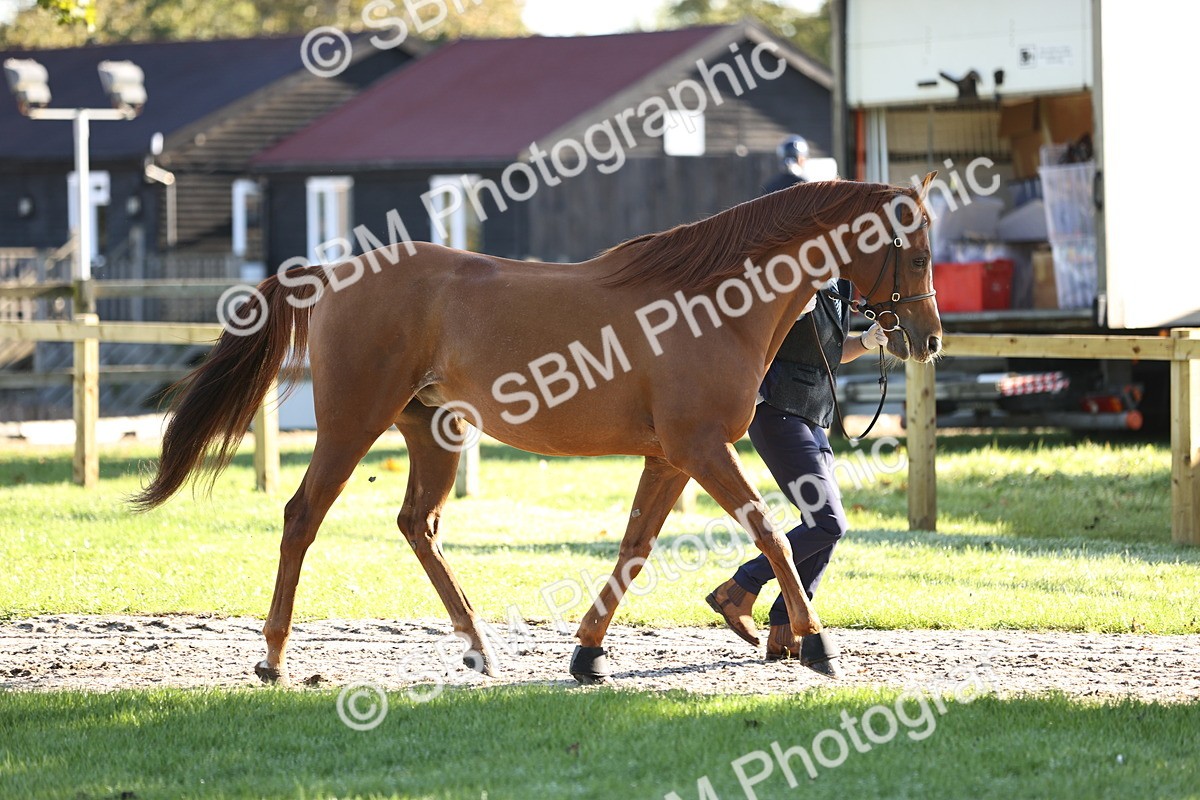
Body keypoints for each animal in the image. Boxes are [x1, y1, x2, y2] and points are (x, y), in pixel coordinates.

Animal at [133, 175, 942, 684]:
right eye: (917, 252)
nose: (927, 339)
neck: (711, 301)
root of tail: (331, 276)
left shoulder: (671, 457)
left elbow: (635, 548)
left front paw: (588, 656)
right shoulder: (702, 446)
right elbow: (771, 532)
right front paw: (817, 644)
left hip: (433, 432)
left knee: (417, 525)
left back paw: (479, 648)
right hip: (350, 424)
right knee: (302, 518)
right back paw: (272, 659)